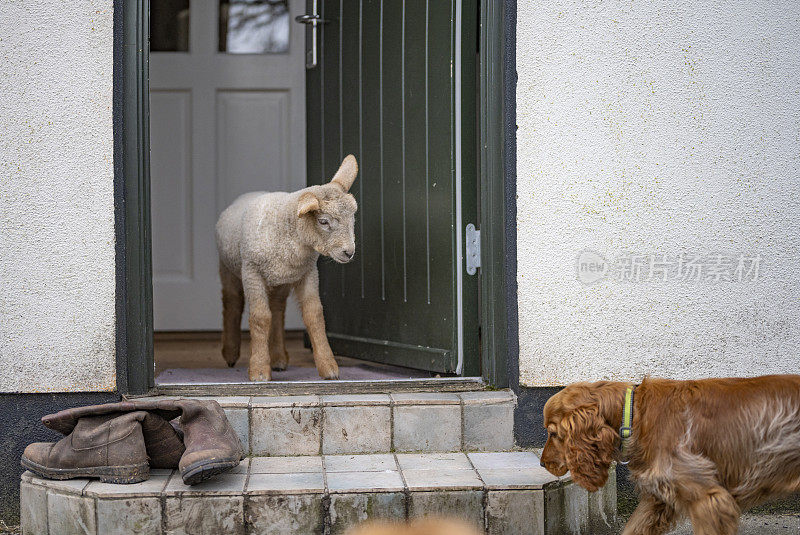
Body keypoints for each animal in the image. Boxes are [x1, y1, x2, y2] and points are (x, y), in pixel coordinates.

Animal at [216, 155, 360, 382]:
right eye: (323, 221)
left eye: (352, 218)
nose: (349, 252)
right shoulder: (252, 272)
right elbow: (259, 317)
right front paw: (259, 371)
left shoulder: (308, 273)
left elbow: (314, 315)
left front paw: (328, 367)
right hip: (228, 268)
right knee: (232, 303)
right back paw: (231, 353)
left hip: (280, 281)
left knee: (276, 311)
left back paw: (278, 359)